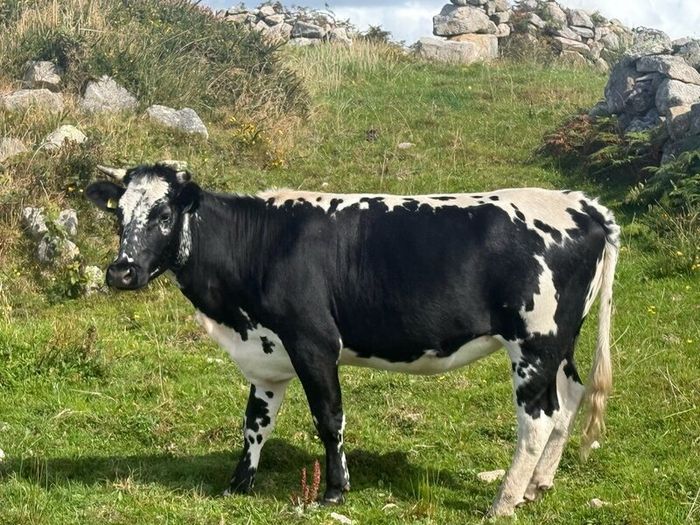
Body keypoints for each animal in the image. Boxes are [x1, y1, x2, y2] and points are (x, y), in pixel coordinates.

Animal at [85, 161, 619, 517]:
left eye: (163, 215)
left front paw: (334, 490)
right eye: (119, 216)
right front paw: (239, 484)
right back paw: (538, 486)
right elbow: (255, 423)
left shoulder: (313, 341)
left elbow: (329, 418)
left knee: (538, 418)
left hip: (534, 341)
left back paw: (503, 502)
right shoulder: (268, 353)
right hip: (561, 343)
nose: (122, 271)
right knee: (569, 399)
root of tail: (584, 203)